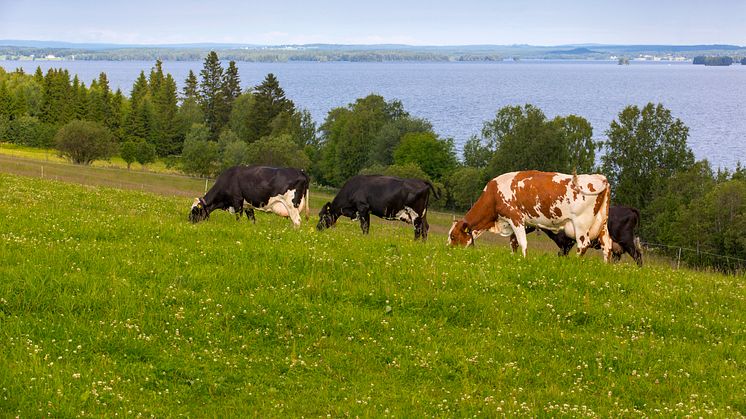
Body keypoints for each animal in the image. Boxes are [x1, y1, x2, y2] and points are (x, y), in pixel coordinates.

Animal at [448, 171, 612, 262]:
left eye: (453, 236)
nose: (448, 251)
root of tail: (600, 178)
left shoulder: (515, 218)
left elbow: (522, 242)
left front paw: (524, 260)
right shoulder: (524, 223)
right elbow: (513, 241)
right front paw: (514, 257)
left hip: (581, 223)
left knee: (583, 244)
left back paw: (574, 263)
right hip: (602, 224)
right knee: (607, 245)